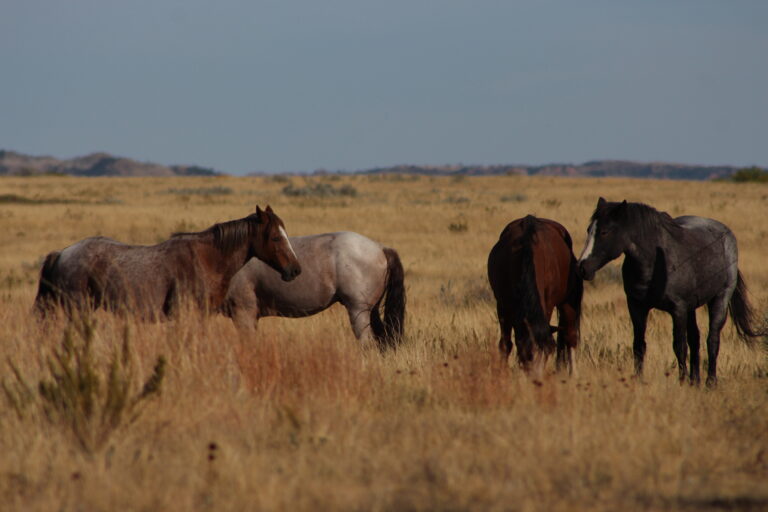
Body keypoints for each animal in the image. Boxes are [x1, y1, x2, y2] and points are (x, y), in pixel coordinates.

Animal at [487, 215, 583, 378]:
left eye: (546, 354)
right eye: (528, 354)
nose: (536, 380)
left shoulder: (549, 303)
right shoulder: (503, 305)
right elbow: (505, 344)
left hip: (568, 301)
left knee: (570, 335)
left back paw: (574, 375)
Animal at [577, 197, 765, 386]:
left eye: (604, 232)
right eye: (588, 230)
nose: (582, 267)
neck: (654, 263)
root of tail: (727, 234)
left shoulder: (678, 309)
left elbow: (679, 346)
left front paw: (681, 381)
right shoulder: (637, 307)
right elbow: (639, 345)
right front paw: (639, 379)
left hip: (720, 299)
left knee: (712, 339)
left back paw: (710, 381)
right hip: (691, 308)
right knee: (695, 339)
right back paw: (695, 381)